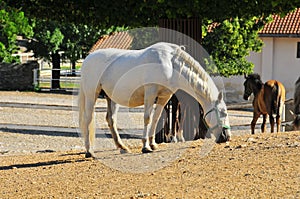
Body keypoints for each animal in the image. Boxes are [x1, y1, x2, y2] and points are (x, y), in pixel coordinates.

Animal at [78, 42, 231, 157]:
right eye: (223, 112)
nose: (227, 137)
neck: (170, 63)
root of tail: (87, 59)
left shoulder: (164, 97)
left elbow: (156, 118)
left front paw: (153, 144)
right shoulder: (150, 93)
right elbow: (147, 118)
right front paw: (145, 146)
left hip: (111, 98)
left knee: (111, 120)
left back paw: (122, 147)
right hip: (91, 95)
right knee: (88, 119)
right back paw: (89, 151)